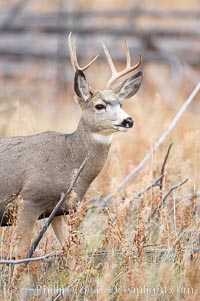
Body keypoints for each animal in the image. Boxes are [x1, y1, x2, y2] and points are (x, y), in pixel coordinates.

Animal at [0, 34, 142, 260]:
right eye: (99, 106)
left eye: (121, 104)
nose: (128, 120)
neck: (67, 158)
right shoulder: (29, 200)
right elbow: (21, 253)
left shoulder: (59, 210)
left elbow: (72, 250)